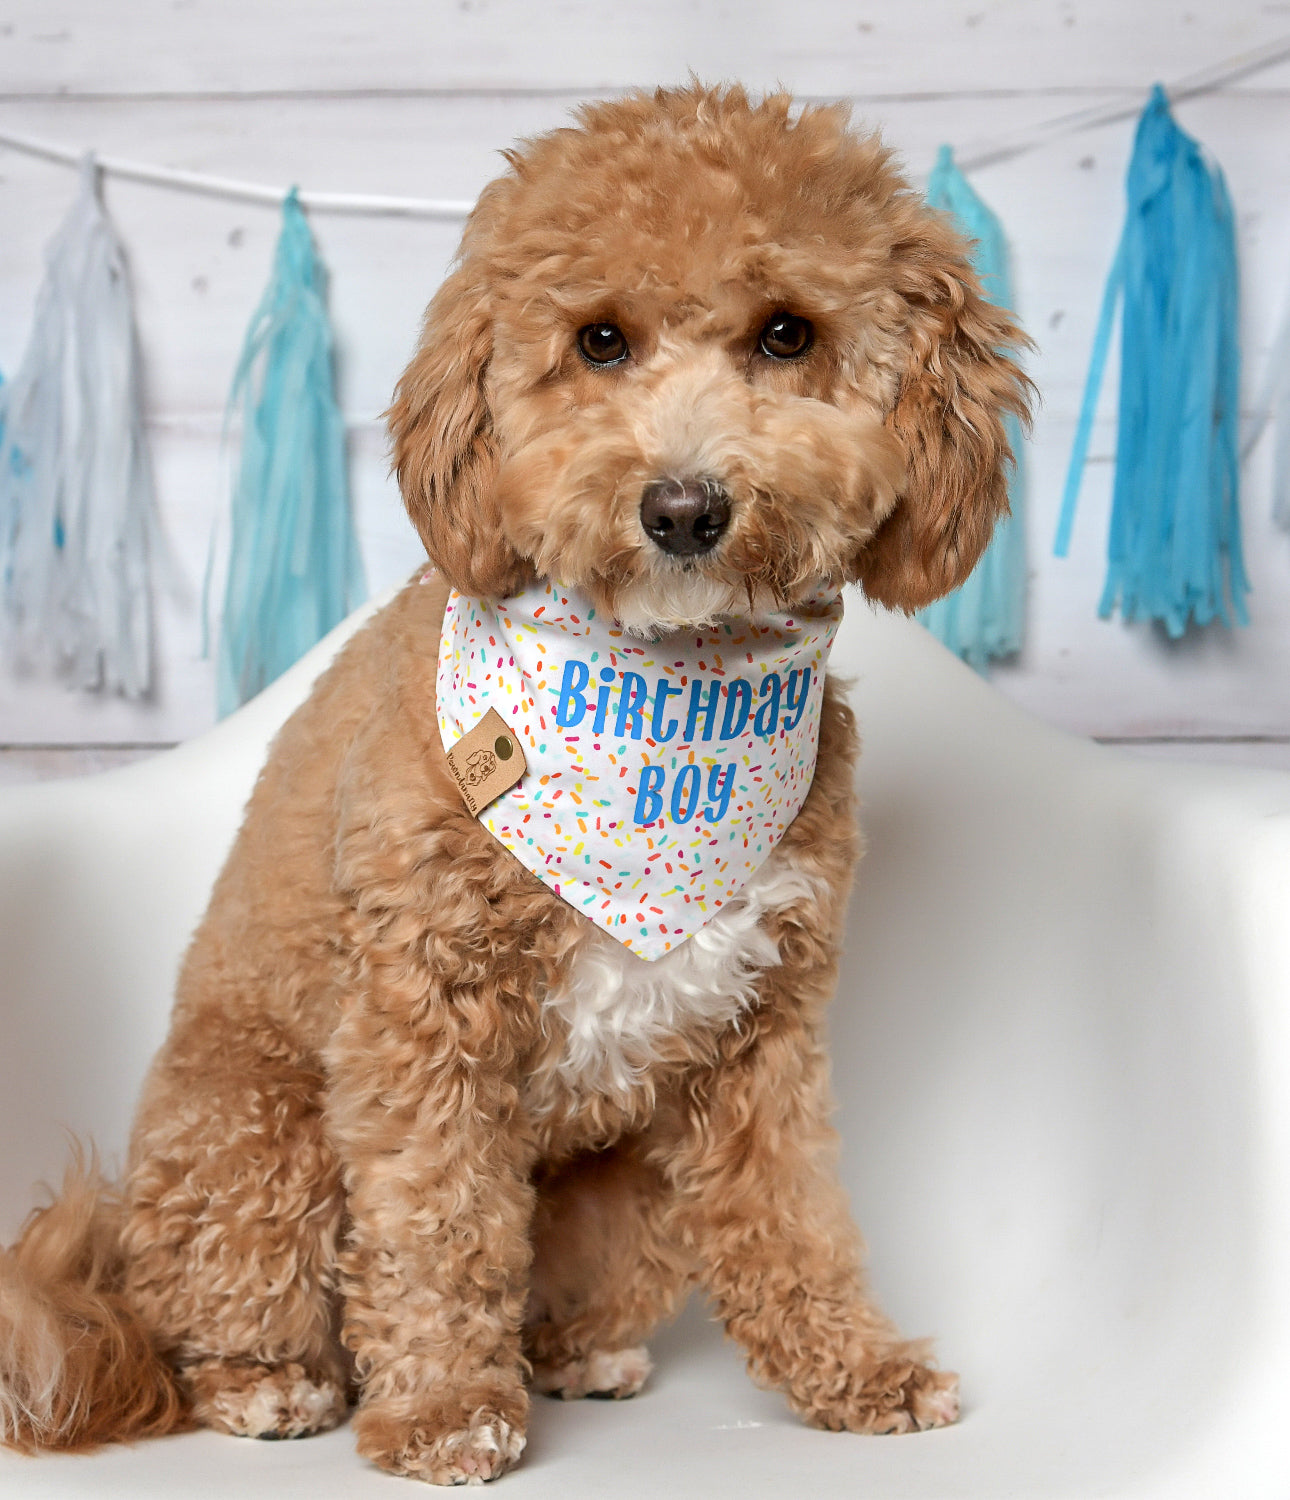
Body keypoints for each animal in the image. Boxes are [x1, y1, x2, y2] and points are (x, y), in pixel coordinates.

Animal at [0, 85, 1026, 1488]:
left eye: (787, 334)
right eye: (599, 340)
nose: (684, 508)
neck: (663, 697)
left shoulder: (764, 1035)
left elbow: (792, 1212)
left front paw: (856, 1369)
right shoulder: (419, 1022)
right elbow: (432, 1225)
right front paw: (439, 1409)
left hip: (626, 1189)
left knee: (585, 1286)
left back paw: (575, 1354)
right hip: (255, 1129)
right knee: (220, 1299)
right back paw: (269, 1382)